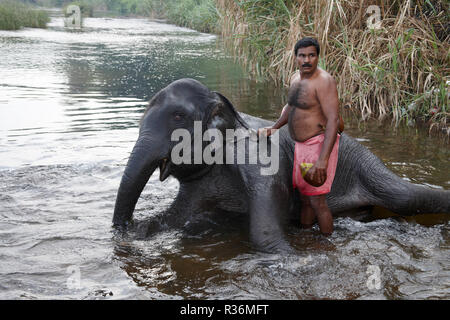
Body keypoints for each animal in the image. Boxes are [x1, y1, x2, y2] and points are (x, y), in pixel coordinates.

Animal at [113, 78, 450, 252]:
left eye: (178, 117)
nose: (124, 230)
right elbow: (173, 218)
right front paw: (142, 230)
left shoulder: (260, 165)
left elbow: (265, 231)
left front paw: (288, 257)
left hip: (363, 161)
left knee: (405, 197)